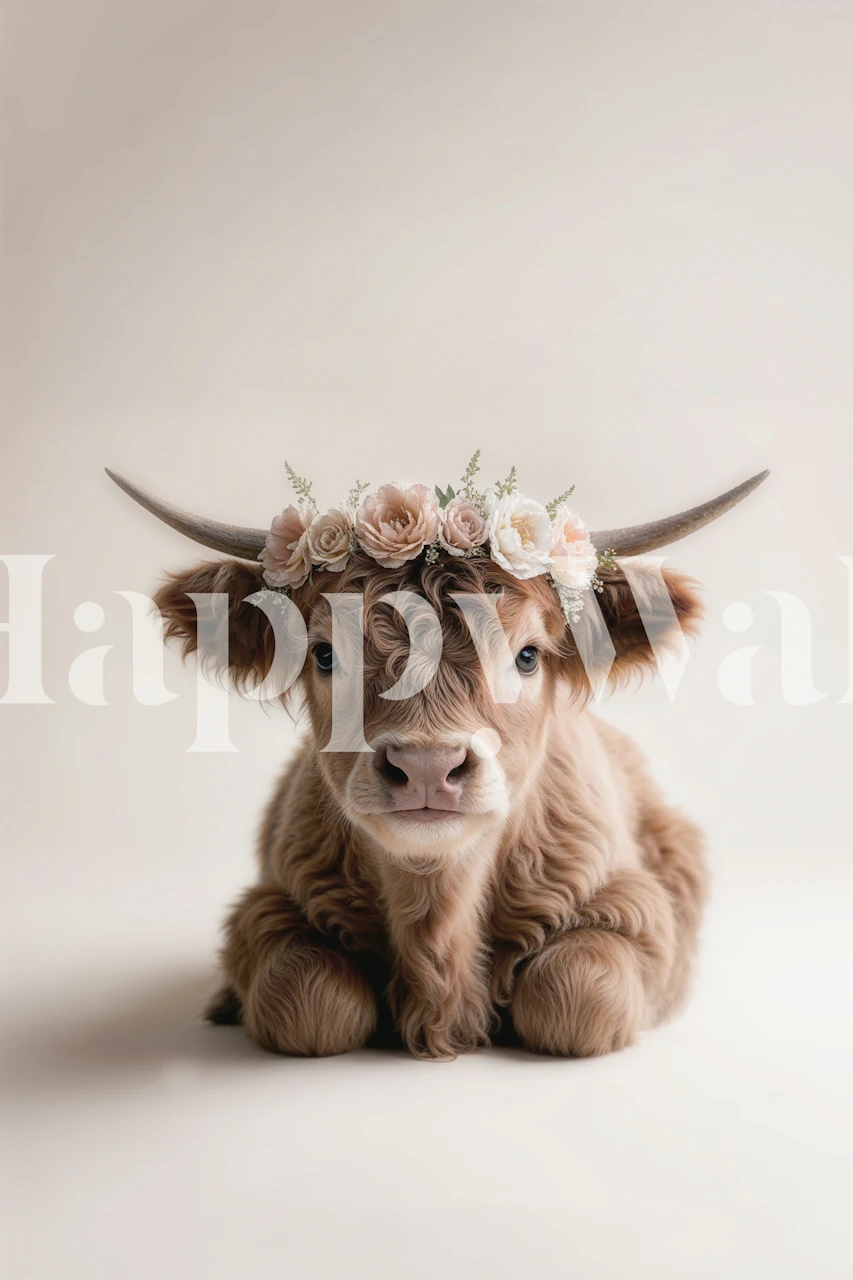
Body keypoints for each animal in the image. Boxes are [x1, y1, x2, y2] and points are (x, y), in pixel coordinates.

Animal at [107, 466, 767, 1060]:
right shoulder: (268, 905)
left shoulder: (636, 905)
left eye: (528, 656)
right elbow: (309, 998)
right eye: (325, 654)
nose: (427, 767)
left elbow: (574, 992)